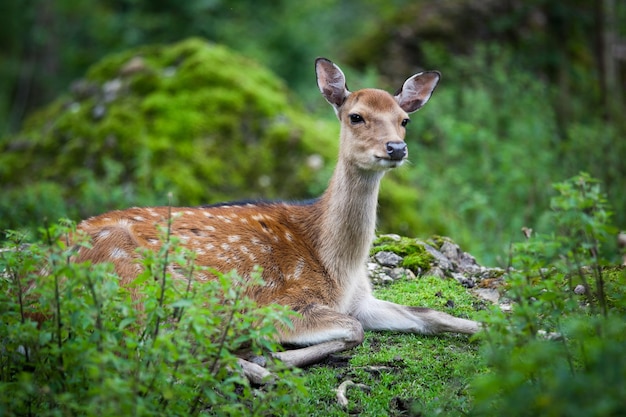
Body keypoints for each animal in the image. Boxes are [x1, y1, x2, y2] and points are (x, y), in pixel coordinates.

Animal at [75, 57, 480, 380]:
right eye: (356, 116)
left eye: (404, 120)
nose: (396, 148)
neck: (339, 267)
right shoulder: (281, 303)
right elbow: (354, 330)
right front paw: (269, 355)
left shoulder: (362, 300)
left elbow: (432, 314)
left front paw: (488, 330)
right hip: (149, 286)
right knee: (151, 348)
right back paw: (251, 361)